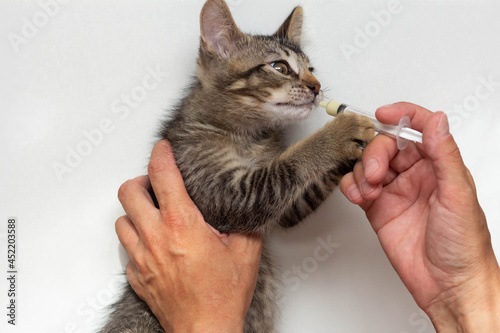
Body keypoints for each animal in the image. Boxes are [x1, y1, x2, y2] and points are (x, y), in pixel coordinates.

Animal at [101, 0, 374, 332]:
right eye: (279, 67)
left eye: (312, 70)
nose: (317, 87)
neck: (250, 136)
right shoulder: (229, 191)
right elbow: (288, 165)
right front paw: (341, 130)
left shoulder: (288, 207)